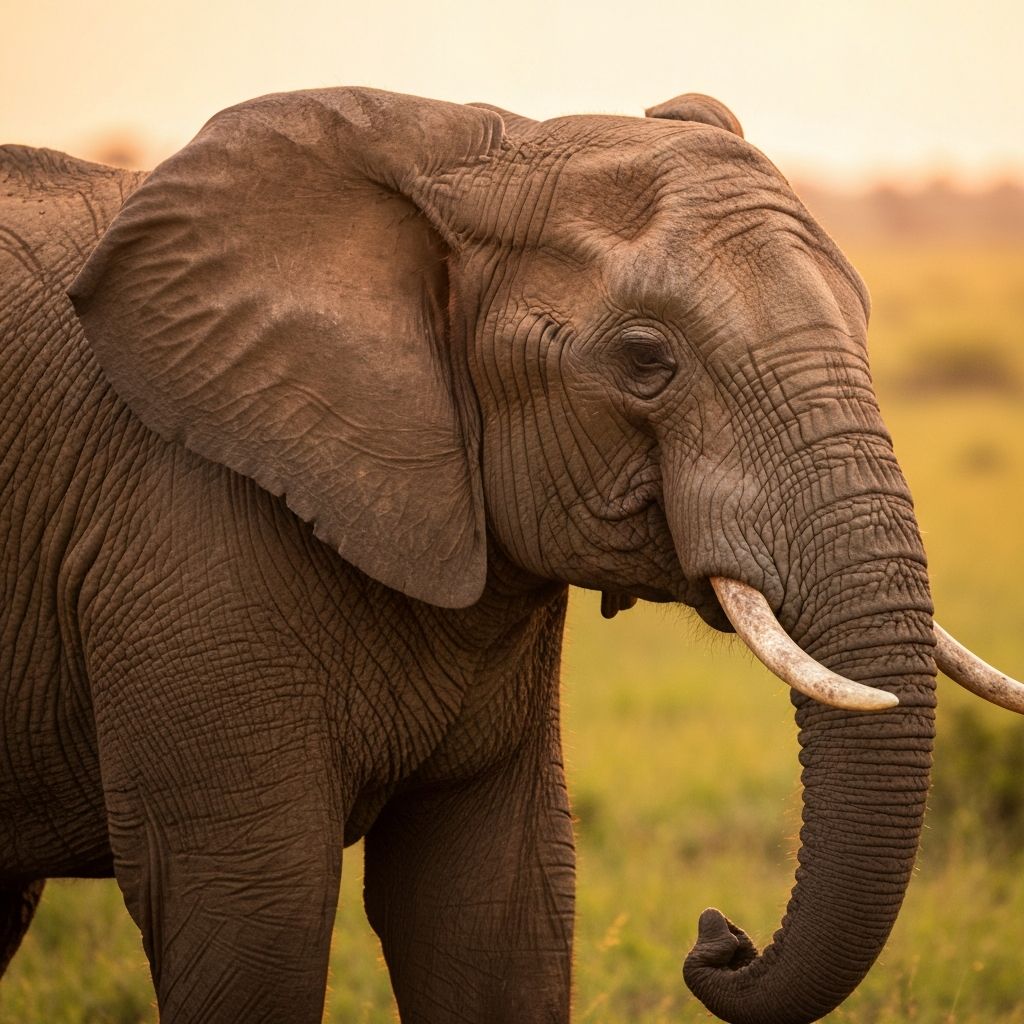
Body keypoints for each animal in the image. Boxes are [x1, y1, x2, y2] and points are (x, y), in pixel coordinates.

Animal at [1, 86, 1021, 1024]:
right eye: (645, 359)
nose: (719, 933)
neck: (464, 152)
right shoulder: (180, 530)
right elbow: (252, 912)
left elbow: (494, 907)